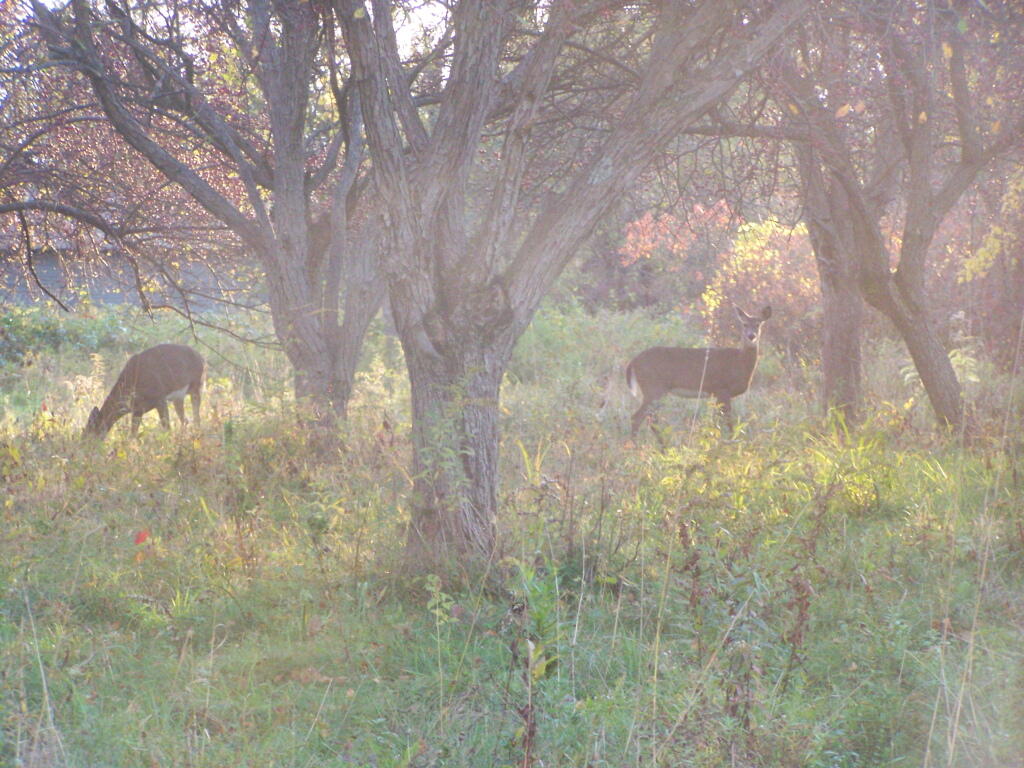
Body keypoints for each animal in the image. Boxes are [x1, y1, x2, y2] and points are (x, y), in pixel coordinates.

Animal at [625, 305, 771, 436]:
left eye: (758, 325)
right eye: (744, 324)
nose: (751, 336)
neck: (739, 363)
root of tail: (633, 362)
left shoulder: (716, 393)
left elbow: (716, 421)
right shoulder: (722, 389)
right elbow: (727, 421)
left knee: (649, 419)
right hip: (653, 388)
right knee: (638, 418)